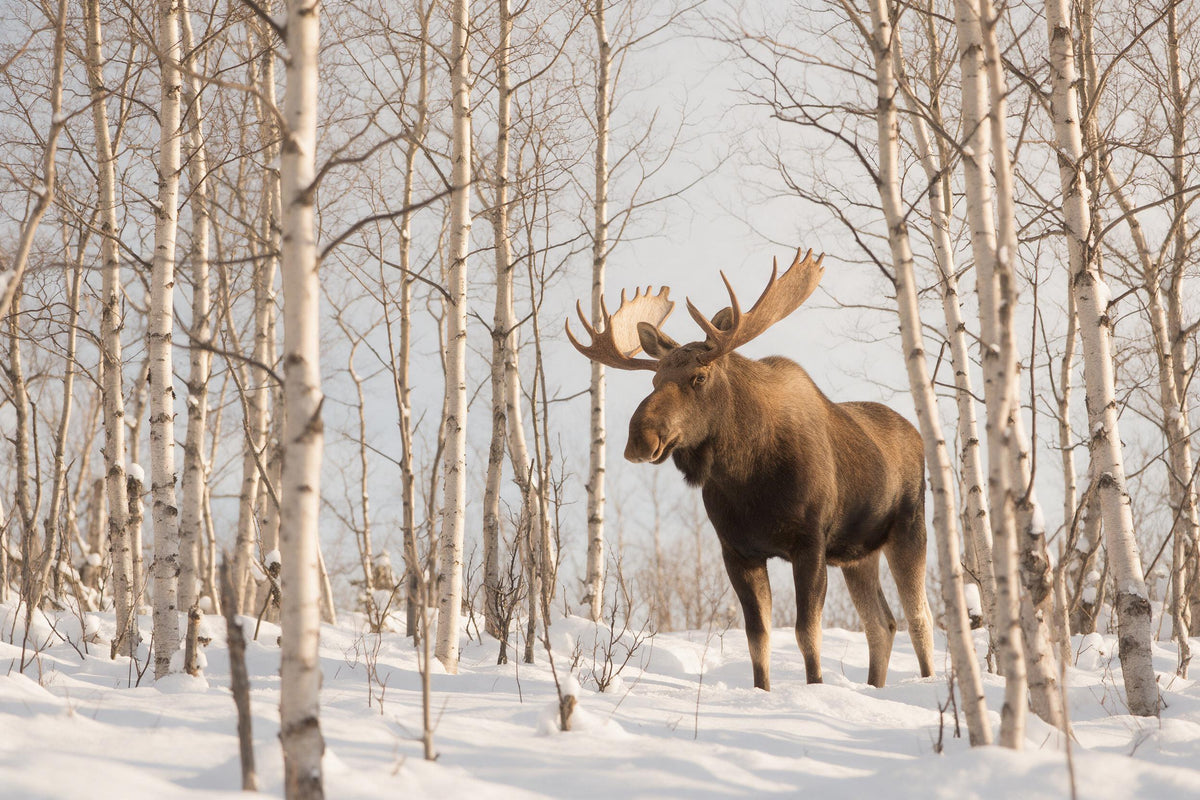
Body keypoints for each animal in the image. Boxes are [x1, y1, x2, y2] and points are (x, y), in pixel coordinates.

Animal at [566, 247, 935, 690]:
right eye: (654, 380)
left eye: (699, 376)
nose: (640, 438)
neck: (746, 478)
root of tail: (915, 435)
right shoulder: (737, 550)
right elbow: (757, 636)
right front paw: (763, 691)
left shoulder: (809, 543)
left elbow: (806, 633)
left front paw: (814, 687)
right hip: (857, 555)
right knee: (882, 624)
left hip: (909, 529)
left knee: (921, 619)